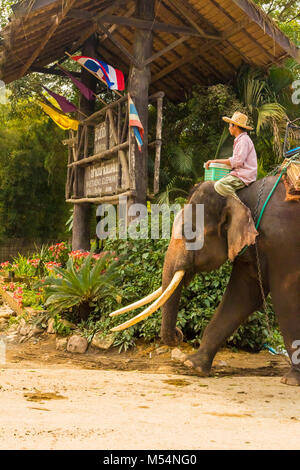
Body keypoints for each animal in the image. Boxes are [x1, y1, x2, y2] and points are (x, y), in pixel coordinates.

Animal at [109, 176, 300, 386]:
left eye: (189, 232)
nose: (179, 333)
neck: (241, 195)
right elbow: (242, 295)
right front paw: (192, 365)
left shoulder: (283, 242)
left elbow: (286, 298)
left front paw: (291, 380)